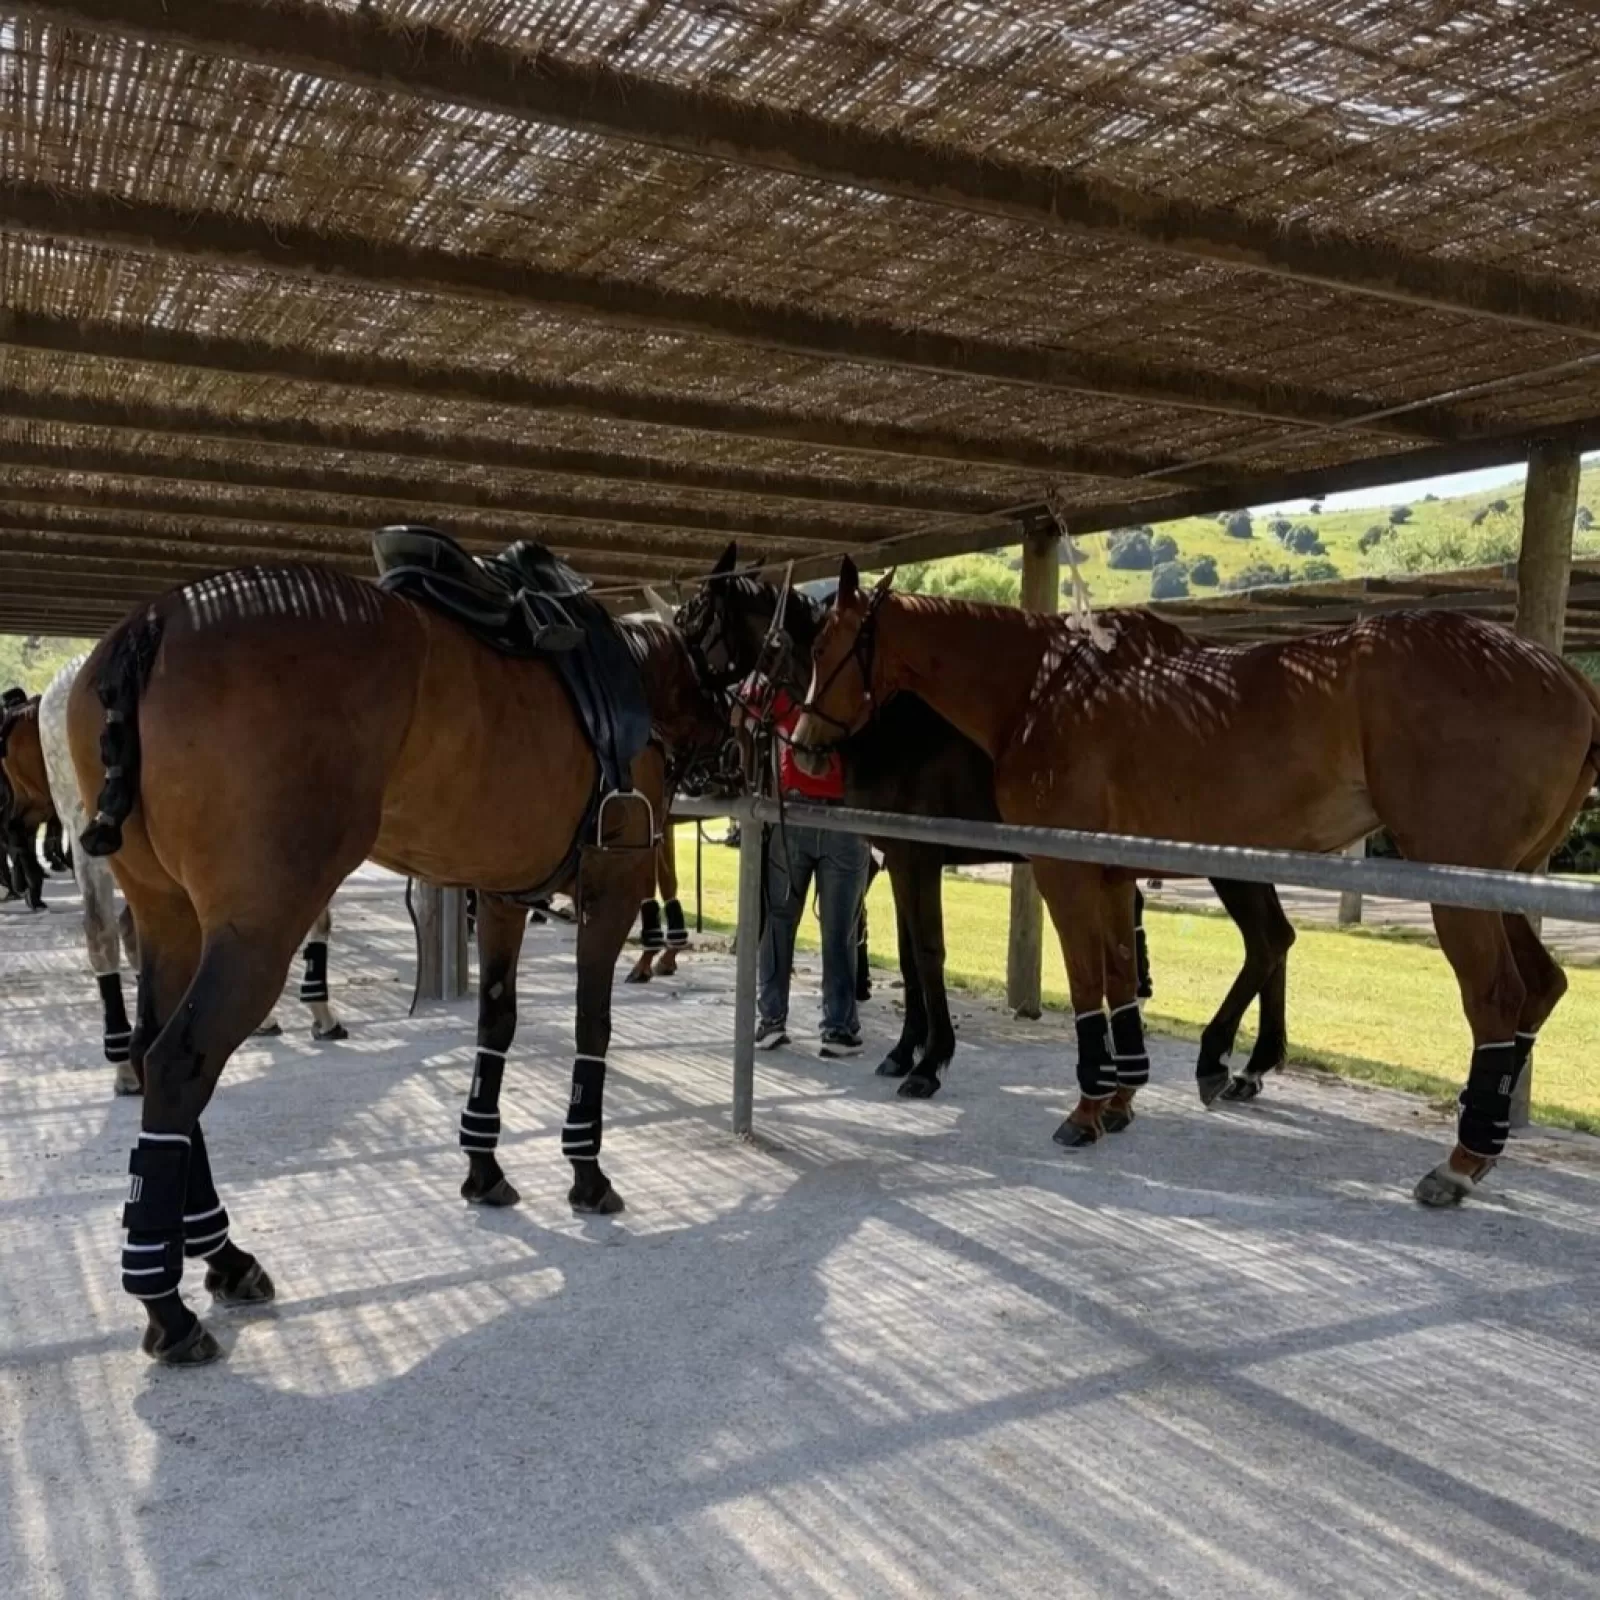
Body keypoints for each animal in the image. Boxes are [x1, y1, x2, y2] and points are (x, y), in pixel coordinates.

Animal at [676, 546, 1294, 1102]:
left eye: (695, 624)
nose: (722, 746)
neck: (898, 725)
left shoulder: (916, 859)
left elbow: (927, 953)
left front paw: (930, 1061)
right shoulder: (900, 858)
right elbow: (909, 953)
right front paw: (905, 1051)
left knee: (1264, 942)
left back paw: (1218, 1058)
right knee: (1277, 938)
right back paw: (1254, 1065)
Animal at [795, 560, 1600, 1206]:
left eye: (827, 648)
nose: (803, 746)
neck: (1043, 691)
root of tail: (1568, 677)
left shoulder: (1062, 871)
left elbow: (1085, 983)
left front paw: (1084, 1109)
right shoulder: (1111, 876)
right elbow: (1120, 978)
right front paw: (1120, 1098)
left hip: (1460, 887)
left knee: (1494, 998)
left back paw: (1458, 1160)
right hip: (1510, 883)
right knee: (1540, 984)